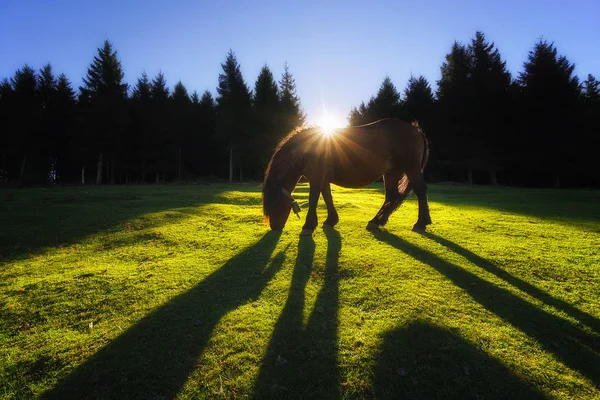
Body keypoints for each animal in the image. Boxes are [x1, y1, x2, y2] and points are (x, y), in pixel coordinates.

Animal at [262, 117, 432, 236]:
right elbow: (327, 196)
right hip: (391, 172)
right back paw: (377, 221)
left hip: (411, 169)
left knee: (420, 191)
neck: (308, 148)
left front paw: (308, 226)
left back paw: (420, 223)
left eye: (274, 202)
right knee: (392, 196)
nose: (274, 227)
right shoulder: (323, 177)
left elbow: (314, 198)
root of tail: (415, 129)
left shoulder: (317, 176)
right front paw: (331, 220)